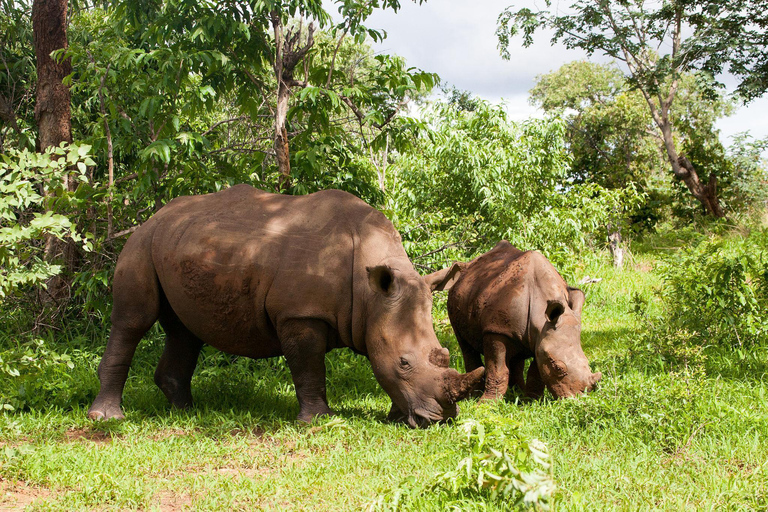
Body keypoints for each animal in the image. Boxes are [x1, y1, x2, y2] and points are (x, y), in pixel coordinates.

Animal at [87, 185, 484, 427]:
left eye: (444, 356)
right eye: (404, 362)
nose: (441, 419)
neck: (370, 294)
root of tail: (153, 216)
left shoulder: (378, 309)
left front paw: (397, 417)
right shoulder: (300, 313)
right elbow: (309, 367)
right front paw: (319, 421)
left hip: (178, 244)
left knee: (184, 331)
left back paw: (186, 413)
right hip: (142, 243)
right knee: (132, 321)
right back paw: (107, 419)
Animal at [426, 241, 601, 400]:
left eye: (587, 362)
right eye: (558, 368)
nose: (577, 400)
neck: (540, 317)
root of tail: (468, 266)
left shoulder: (542, 338)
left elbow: (536, 371)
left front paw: (531, 401)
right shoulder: (495, 330)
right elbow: (497, 369)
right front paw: (487, 403)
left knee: (517, 353)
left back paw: (518, 393)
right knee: (466, 345)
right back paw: (474, 396)